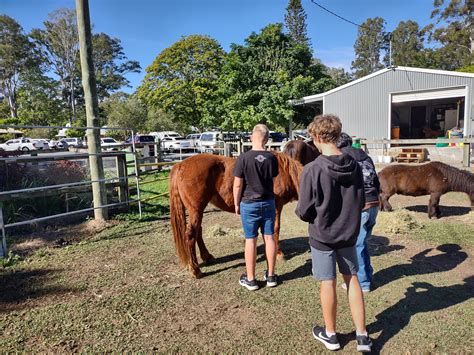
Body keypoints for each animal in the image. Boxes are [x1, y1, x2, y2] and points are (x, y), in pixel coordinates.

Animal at [171, 152, 304, 278]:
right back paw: (195, 270)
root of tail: (180, 165)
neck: (284, 171)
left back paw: (207, 257)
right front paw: (278, 253)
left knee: (198, 231)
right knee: (191, 235)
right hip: (196, 210)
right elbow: (275, 229)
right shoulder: (276, 206)